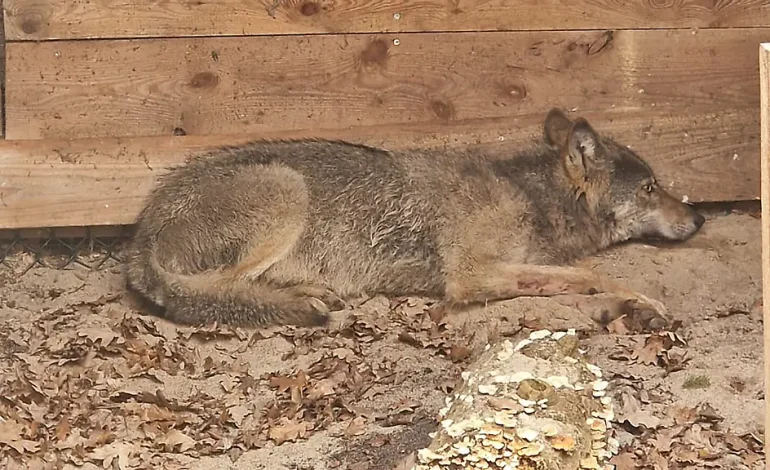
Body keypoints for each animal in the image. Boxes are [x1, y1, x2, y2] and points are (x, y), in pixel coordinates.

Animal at [125, 109, 705, 330]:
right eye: (651, 188)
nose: (699, 217)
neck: (529, 196)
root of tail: (139, 236)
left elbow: (579, 276)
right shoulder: (471, 277)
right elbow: (591, 275)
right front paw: (641, 302)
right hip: (286, 190)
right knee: (216, 291)